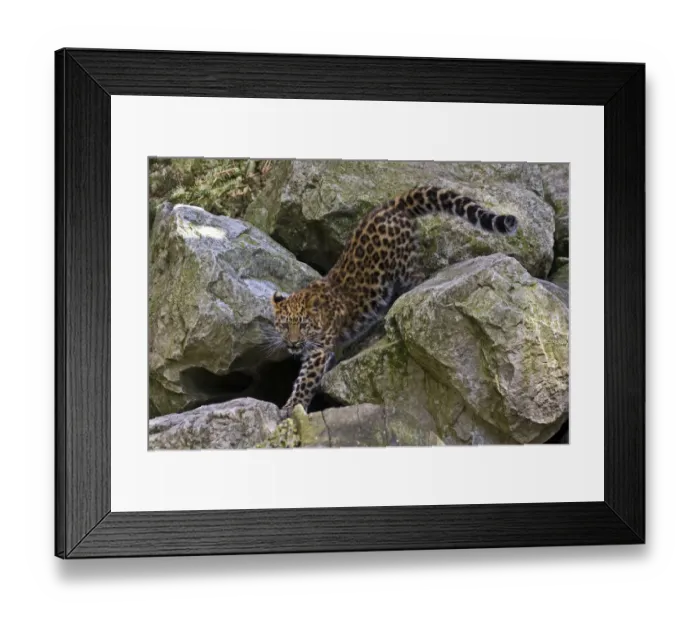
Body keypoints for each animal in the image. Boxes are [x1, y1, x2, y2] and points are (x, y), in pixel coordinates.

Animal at [269, 185, 519, 417]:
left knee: (420, 277)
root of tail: (392, 204)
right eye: (284, 325)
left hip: (404, 268)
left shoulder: (319, 350)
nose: (292, 343)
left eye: (303, 324)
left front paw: (290, 407)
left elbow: (305, 381)